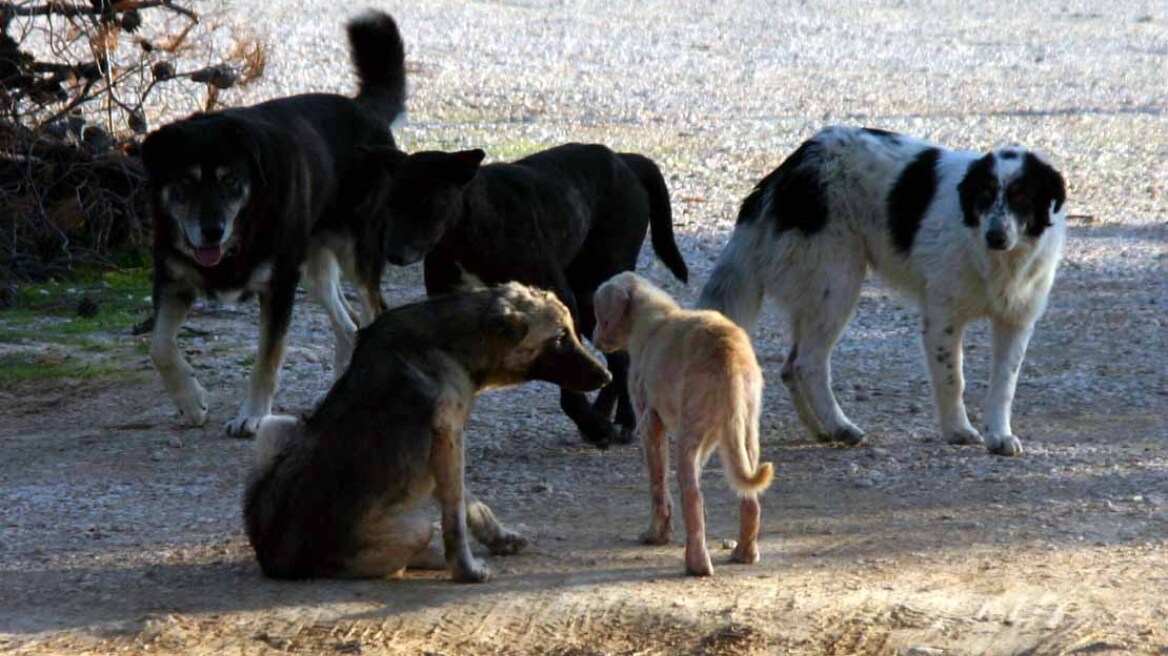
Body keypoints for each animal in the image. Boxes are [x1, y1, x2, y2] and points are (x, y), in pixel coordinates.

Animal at [142, 8, 406, 434]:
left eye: (231, 181)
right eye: (185, 183)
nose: (211, 231)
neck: (241, 231)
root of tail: (364, 109)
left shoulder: (279, 286)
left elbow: (267, 360)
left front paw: (252, 416)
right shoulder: (173, 281)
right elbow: (160, 346)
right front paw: (191, 403)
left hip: (355, 252)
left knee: (373, 312)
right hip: (314, 268)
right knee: (350, 328)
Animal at [244, 283, 612, 578]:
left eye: (572, 332)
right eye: (560, 338)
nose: (607, 376)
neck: (451, 343)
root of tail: (273, 559)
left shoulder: (446, 448)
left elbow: (471, 504)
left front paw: (499, 539)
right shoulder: (449, 438)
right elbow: (455, 518)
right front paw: (466, 570)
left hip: (277, 426)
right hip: (411, 529)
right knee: (401, 555)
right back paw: (433, 558)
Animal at [364, 141, 686, 448]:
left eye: (428, 203)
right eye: (390, 204)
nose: (393, 253)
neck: (467, 232)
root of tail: (625, 159)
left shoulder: (562, 301)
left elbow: (569, 382)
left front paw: (592, 424)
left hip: (596, 286)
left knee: (622, 357)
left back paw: (623, 421)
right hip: (590, 301)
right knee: (617, 357)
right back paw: (605, 414)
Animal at [593, 270, 775, 571]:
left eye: (599, 315)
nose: (595, 339)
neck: (654, 317)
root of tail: (729, 355)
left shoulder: (650, 423)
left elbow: (658, 485)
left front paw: (656, 535)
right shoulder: (712, 437)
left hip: (690, 434)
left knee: (692, 495)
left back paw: (697, 564)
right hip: (744, 432)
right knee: (749, 498)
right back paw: (745, 554)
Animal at [700, 127, 1069, 455]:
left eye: (1021, 196)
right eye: (985, 195)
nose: (996, 236)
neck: (996, 258)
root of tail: (792, 166)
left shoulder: (1016, 321)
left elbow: (1004, 385)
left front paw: (999, 436)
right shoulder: (943, 318)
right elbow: (952, 379)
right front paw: (958, 430)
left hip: (817, 293)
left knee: (790, 367)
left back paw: (821, 429)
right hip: (837, 282)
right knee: (808, 363)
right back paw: (840, 426)